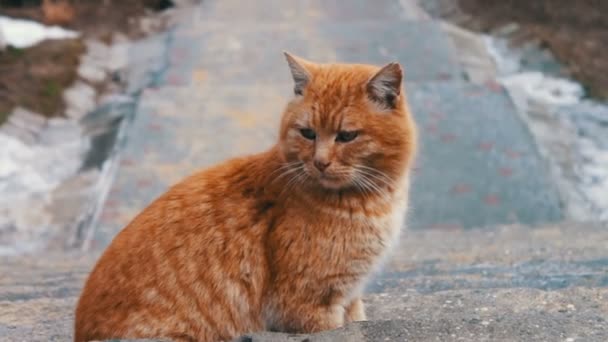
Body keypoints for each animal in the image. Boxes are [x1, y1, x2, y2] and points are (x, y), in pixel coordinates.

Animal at [75, 52, 418, 342]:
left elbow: (358, 317)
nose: (320, 162)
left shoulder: (350, 296)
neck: (374, 201)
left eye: (347, 136)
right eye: (307, 133)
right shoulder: (307, 306)